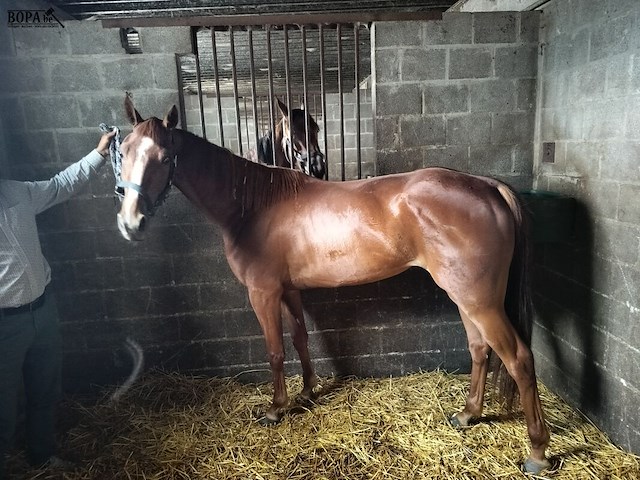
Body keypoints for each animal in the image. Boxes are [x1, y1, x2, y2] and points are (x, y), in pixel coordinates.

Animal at [115, 96, 550, 474]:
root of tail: (487, 186)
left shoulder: (263, 293)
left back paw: (537, 451)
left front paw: (276, 408)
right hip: (465, 296)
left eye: (165, 157)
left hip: (481, 301)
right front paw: (308, 393)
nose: (130, 221)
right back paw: (468, 414)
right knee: (480, 349)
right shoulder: (289, 291)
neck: (254, 205)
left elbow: (275, 351)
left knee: (519, 359)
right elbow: (300, 338)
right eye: (124, 151)